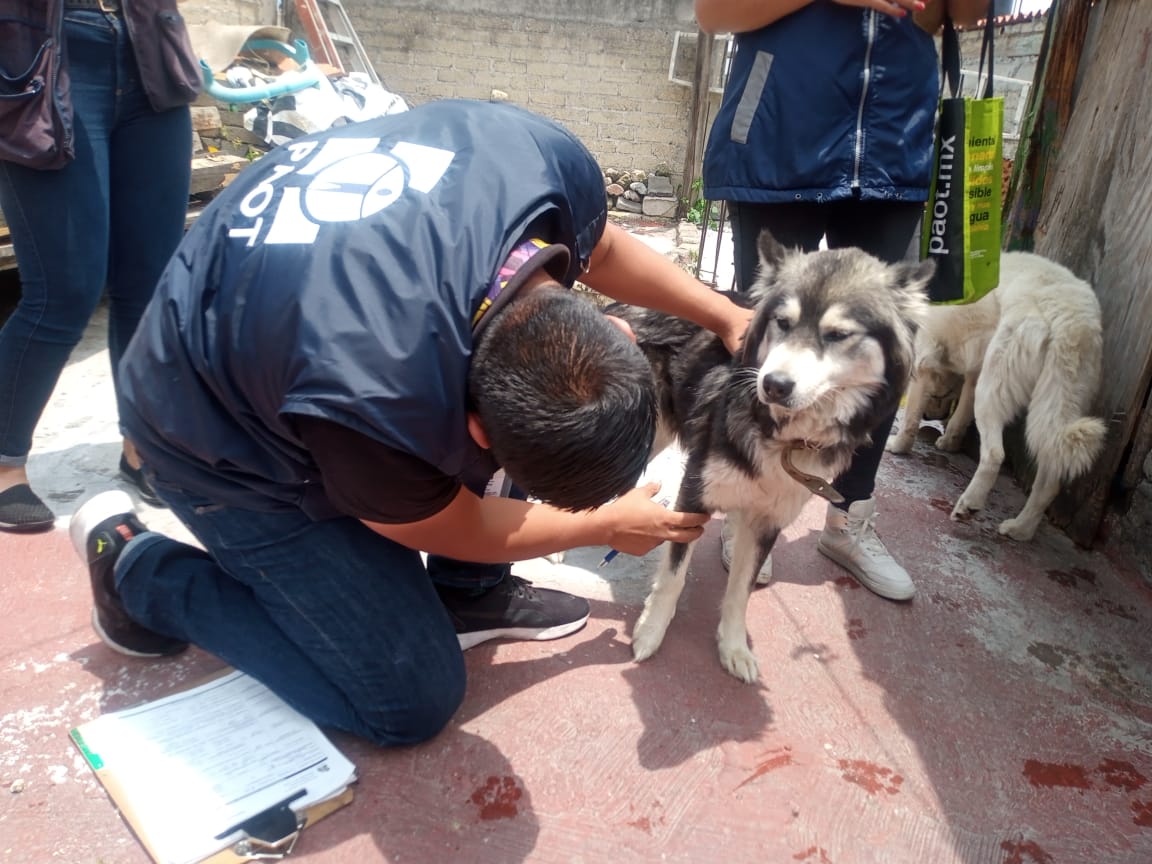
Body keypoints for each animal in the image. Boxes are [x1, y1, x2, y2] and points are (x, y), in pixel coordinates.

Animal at [889, 249, 1105, 543]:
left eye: (941, 395)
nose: (933, 416)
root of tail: (1068, 317)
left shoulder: (925, 363)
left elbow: (910, 419)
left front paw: (899, 446)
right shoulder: (973, 376)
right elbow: (960, 416)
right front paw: (949, 442)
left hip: (993, 390)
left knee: (994, 455)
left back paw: (968, 505)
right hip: (1051, 406)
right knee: (1048, 483)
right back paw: (1020, 529)